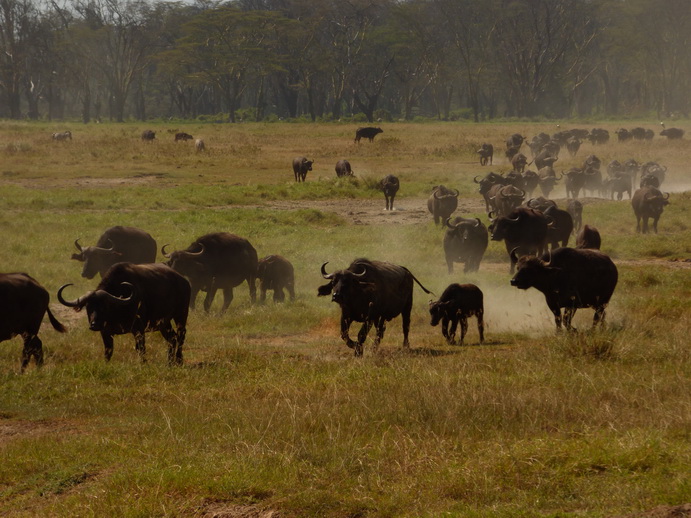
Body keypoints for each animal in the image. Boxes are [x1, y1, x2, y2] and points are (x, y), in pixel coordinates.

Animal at [58, 263, 190, 364]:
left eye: (104, 306)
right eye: (88, 306)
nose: (94, 325)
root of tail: (184, 281)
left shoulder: (138, 329)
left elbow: (140, 348)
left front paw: (143, 363)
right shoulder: (105, 332)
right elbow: (108, 351)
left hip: (181, 315)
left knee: (181, 335)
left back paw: (179, 360)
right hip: (163, 323)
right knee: (172, 338)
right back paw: (170, 362)